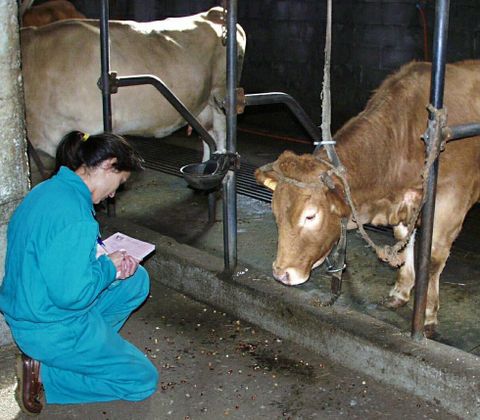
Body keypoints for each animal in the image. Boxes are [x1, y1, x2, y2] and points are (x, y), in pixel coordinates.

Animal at [255, 60, 480, 334]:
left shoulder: (450, 201)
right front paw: (401, 292)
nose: (281, 274)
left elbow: (434, 259)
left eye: (310, 216)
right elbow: (404, 243)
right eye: (276, 213)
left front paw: (427, 315)